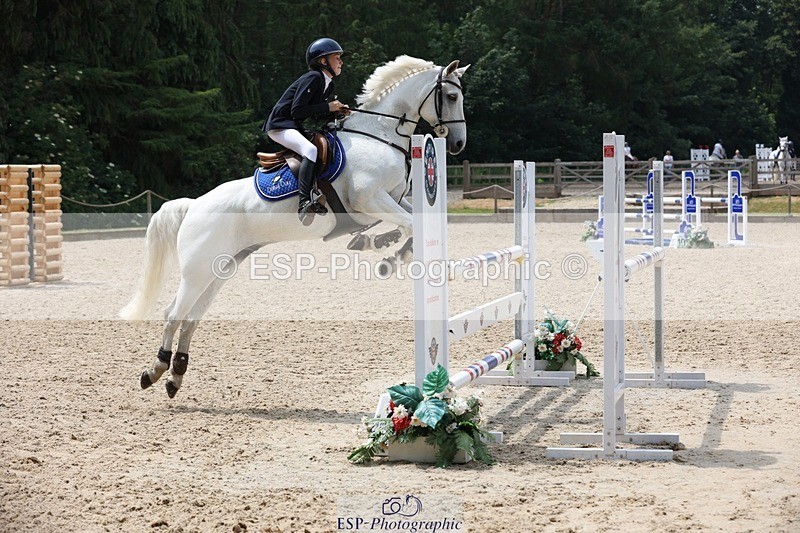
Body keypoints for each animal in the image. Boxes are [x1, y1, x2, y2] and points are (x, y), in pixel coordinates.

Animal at [119, 55, 469, 398]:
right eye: (452, 97)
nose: (457, 144)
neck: (379, 134)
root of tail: (193, 205)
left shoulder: (394, 199)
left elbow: (413, 224)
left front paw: (388, 251)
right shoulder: (370, 200)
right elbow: (409, 225)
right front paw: (388, 254)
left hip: (221, 270)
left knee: (191, 319)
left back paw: (175, 375)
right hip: (198, 272)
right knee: (173, 315)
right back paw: (155, 370)